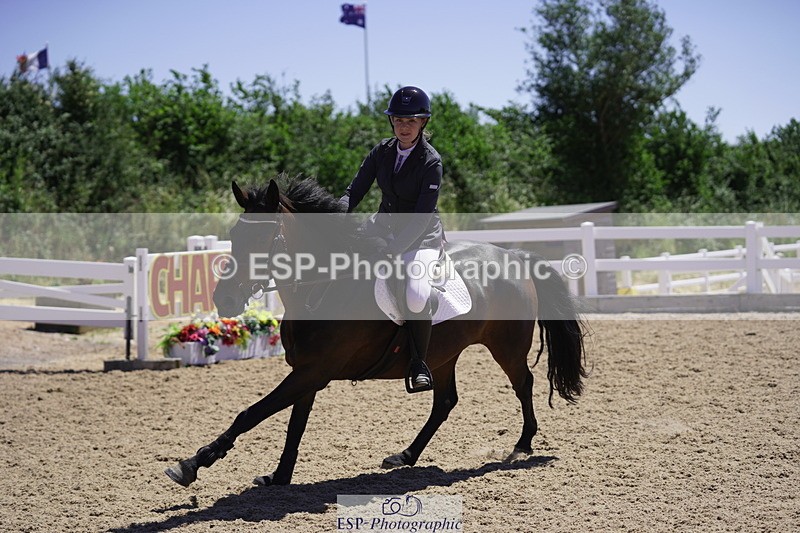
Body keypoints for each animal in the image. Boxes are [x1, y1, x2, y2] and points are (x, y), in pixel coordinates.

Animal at [165, 177, 588, 487]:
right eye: (235, 235)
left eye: (261, 239)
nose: (224, 300)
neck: (321, 287)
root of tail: (513, 254)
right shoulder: (307, 371)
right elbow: (294, 425)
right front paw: (280, 476)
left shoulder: (313, 371)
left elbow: (250, 414)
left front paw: (193, 464)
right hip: (444, 354)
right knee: (444, 401)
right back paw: (406, 455)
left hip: (506, 346)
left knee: (523, 384)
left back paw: (522, 445)